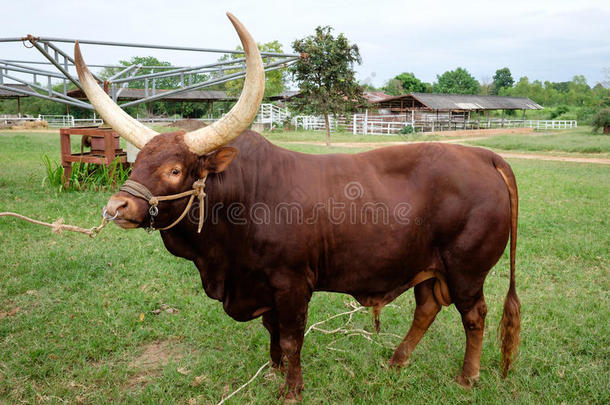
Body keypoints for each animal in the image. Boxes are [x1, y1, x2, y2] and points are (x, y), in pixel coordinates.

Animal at [75, 11, 516, 398]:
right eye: (138, 162)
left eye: (174, 170)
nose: (117, 206)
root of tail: (484, 156)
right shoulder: (262, 287)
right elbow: (272, 333)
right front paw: (274, 371)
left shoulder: (292, 284)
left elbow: (291, 338)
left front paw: (291, 389)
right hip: (426, 265)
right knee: (426, 308)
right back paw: (396, 362)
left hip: (466, 269)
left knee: (474, 315)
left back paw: (467, 377)